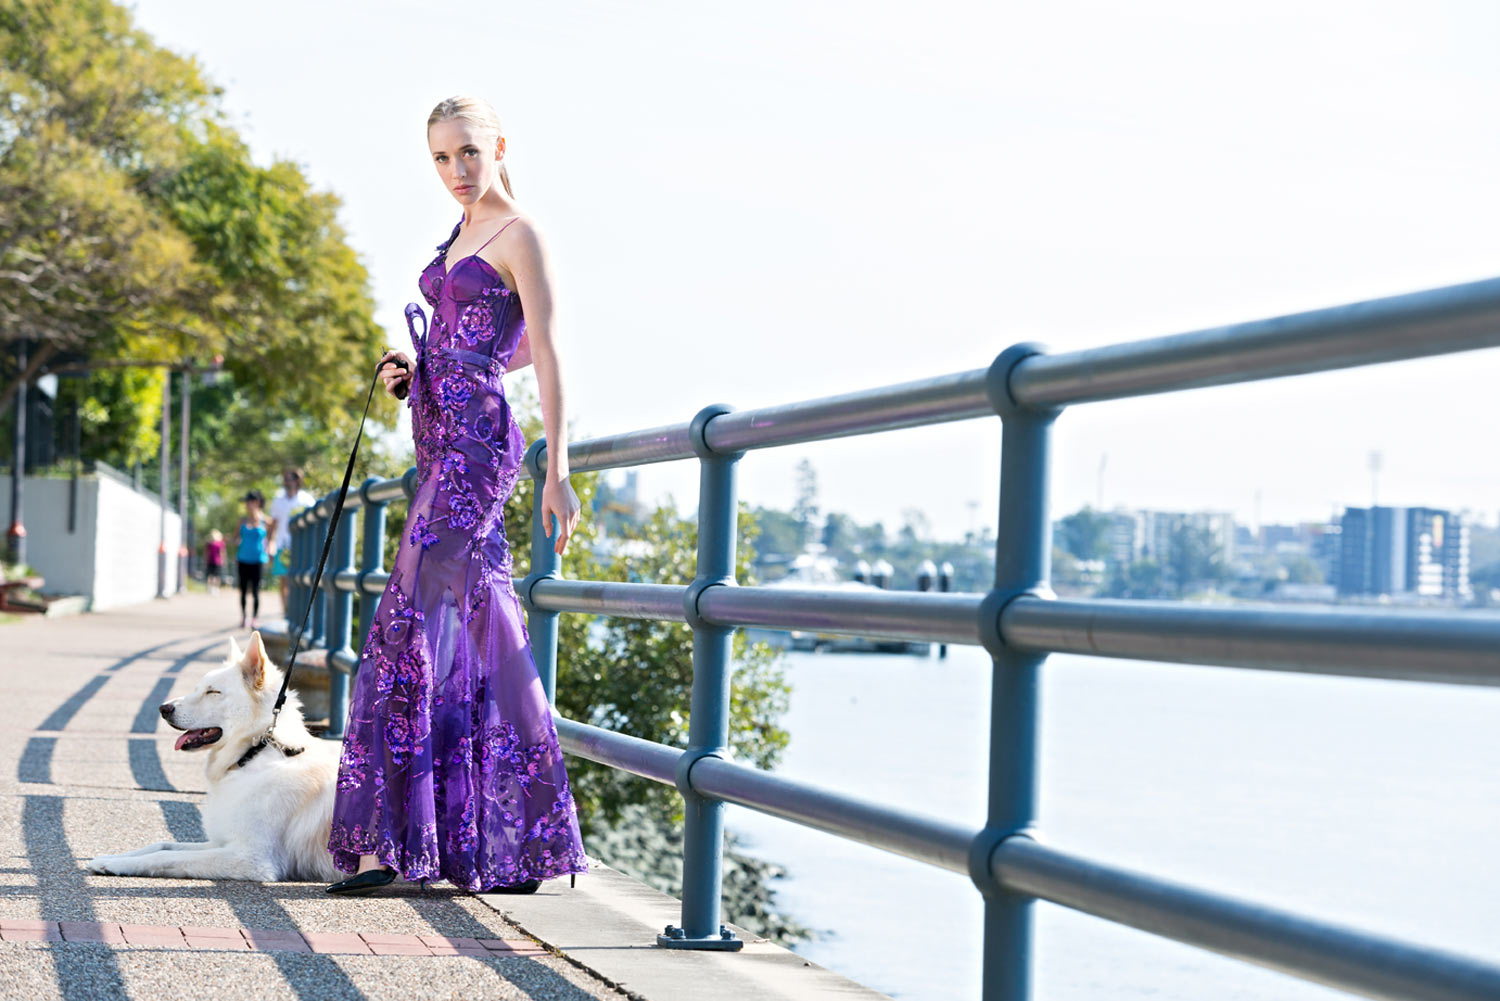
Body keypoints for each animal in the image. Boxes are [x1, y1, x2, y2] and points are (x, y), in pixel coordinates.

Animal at [88, 633, 345, 882]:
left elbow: (164, 856)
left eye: (213, 692)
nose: (163, 708)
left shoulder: (251, 858)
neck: (253, 751)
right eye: (197, 688)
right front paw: (112, 857)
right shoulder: (220, 843)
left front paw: (116, 865)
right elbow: (162, 845)